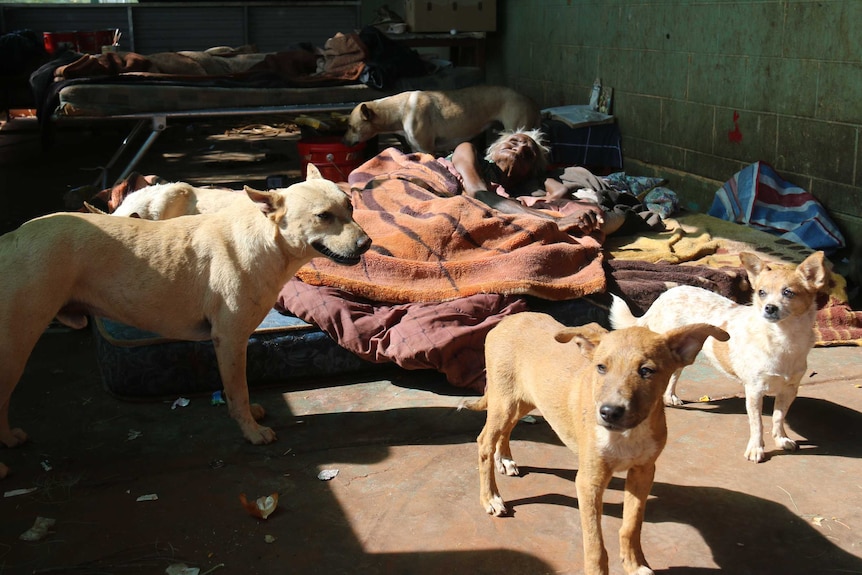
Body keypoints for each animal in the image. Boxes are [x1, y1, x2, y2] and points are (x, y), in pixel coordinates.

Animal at [0, 164, 372, 480]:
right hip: (14, 349)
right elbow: (237, 390)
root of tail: (11, 237)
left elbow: (238, 390)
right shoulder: (230, 340)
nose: (367, 243)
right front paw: (251, 432)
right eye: (323, 217)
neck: (266, 237)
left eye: (351, 207)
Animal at [342, 84, 540, 154]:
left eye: (351, 126)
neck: (399, 111)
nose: (343, 141)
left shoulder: (426, 149)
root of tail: (530, 99)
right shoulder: (416, 149)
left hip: (514, 129)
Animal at [462, 316, 724, 575]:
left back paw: (504, 459)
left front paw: (634, 565)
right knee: (485, 442)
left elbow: (632, 524)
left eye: (646, 371)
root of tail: (506, 320)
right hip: (503, 402)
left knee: (506, 430)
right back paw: (491, 498)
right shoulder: (590, 481)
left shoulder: (643, 471)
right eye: (601, 367)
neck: (628, 435)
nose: (609, 412)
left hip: (525, 400)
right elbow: (594, 544)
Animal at [612, 252, 832, 464]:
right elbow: (758, 424)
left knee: (674, 376)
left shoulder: (789, 390)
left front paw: (781, 439)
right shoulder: (754, 391)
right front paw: (756, 449)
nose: (769, 307)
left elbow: (778, 416)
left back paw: (671, 397)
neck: (783, 337)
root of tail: (665, 296)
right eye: (761, 292)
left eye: (788, 292)